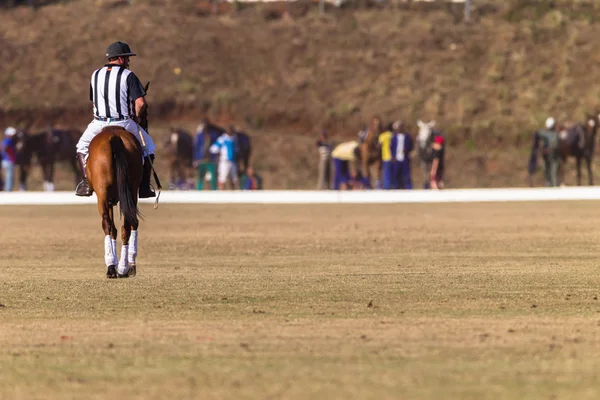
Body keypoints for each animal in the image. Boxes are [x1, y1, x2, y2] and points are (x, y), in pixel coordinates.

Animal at [85, 125, 143, 278]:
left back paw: (115, 267)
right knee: (129, 224)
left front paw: (115, 265)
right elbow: (116, 230)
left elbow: (111, 228)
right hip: (131, 190)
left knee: (108, 224)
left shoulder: (107, 199)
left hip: (102, 195)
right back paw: (125, 267)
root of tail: (114, 135)